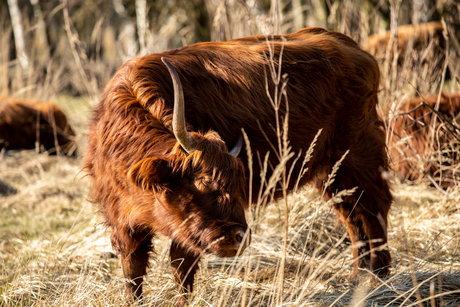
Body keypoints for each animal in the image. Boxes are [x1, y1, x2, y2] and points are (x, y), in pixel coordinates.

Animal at [83, 27, 392, 306]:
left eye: (239, 184)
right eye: (204, 180)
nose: (239, 236)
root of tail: (350, 45)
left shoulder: (187, 228)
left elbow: (181, 265)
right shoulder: (123, 220)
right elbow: (132, 270)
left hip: (358, 155)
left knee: (372, 210)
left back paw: (378, 277)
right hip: (331, 171)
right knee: (353, 215)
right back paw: (358, 276)